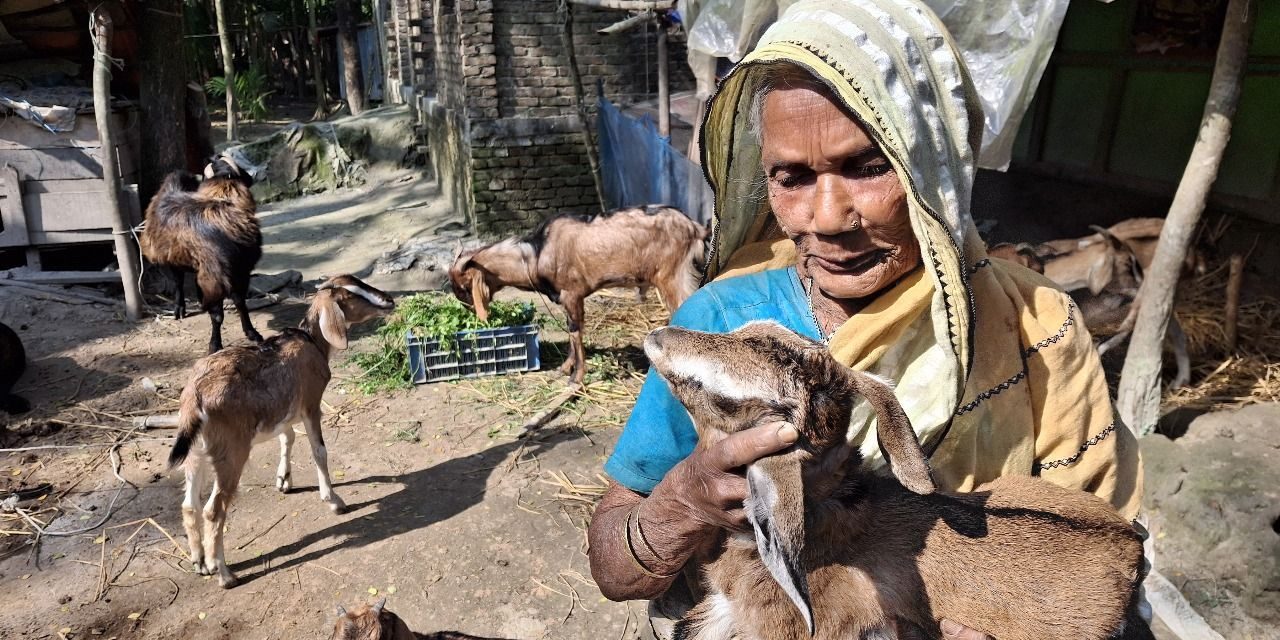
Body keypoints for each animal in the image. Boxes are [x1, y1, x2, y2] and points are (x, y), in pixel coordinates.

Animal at [140, 153, 264, 355]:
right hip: (172, 260)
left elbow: (241, 304)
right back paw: (179, 310)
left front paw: (253, 334)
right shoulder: (216, 277)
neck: (222, 205)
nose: (251, 177)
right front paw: (214, 345)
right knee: (178, 282)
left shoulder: (240, 272)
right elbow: (218, 315)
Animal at [166, 272, 394, 586]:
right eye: (351, 294)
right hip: (230, 452)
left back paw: (199, 561)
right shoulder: (311, 404)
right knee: (214, 510)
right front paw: (334, 501)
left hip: (194, 452)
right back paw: (223, 572)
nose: (389, 300)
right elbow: (319, 451)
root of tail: (195, 396)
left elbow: (287, 437)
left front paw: (284, 480)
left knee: (190, 505)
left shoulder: (284, 413)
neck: (312, 342)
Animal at [450, 206, 711, 384]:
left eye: (463, 288)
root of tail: (695, 228)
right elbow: (571, 331)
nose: (469, 312)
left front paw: (576, 378)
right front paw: (565, 368)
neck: (536, 254)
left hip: (673, 277)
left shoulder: (572, 293)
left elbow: (575, 333)